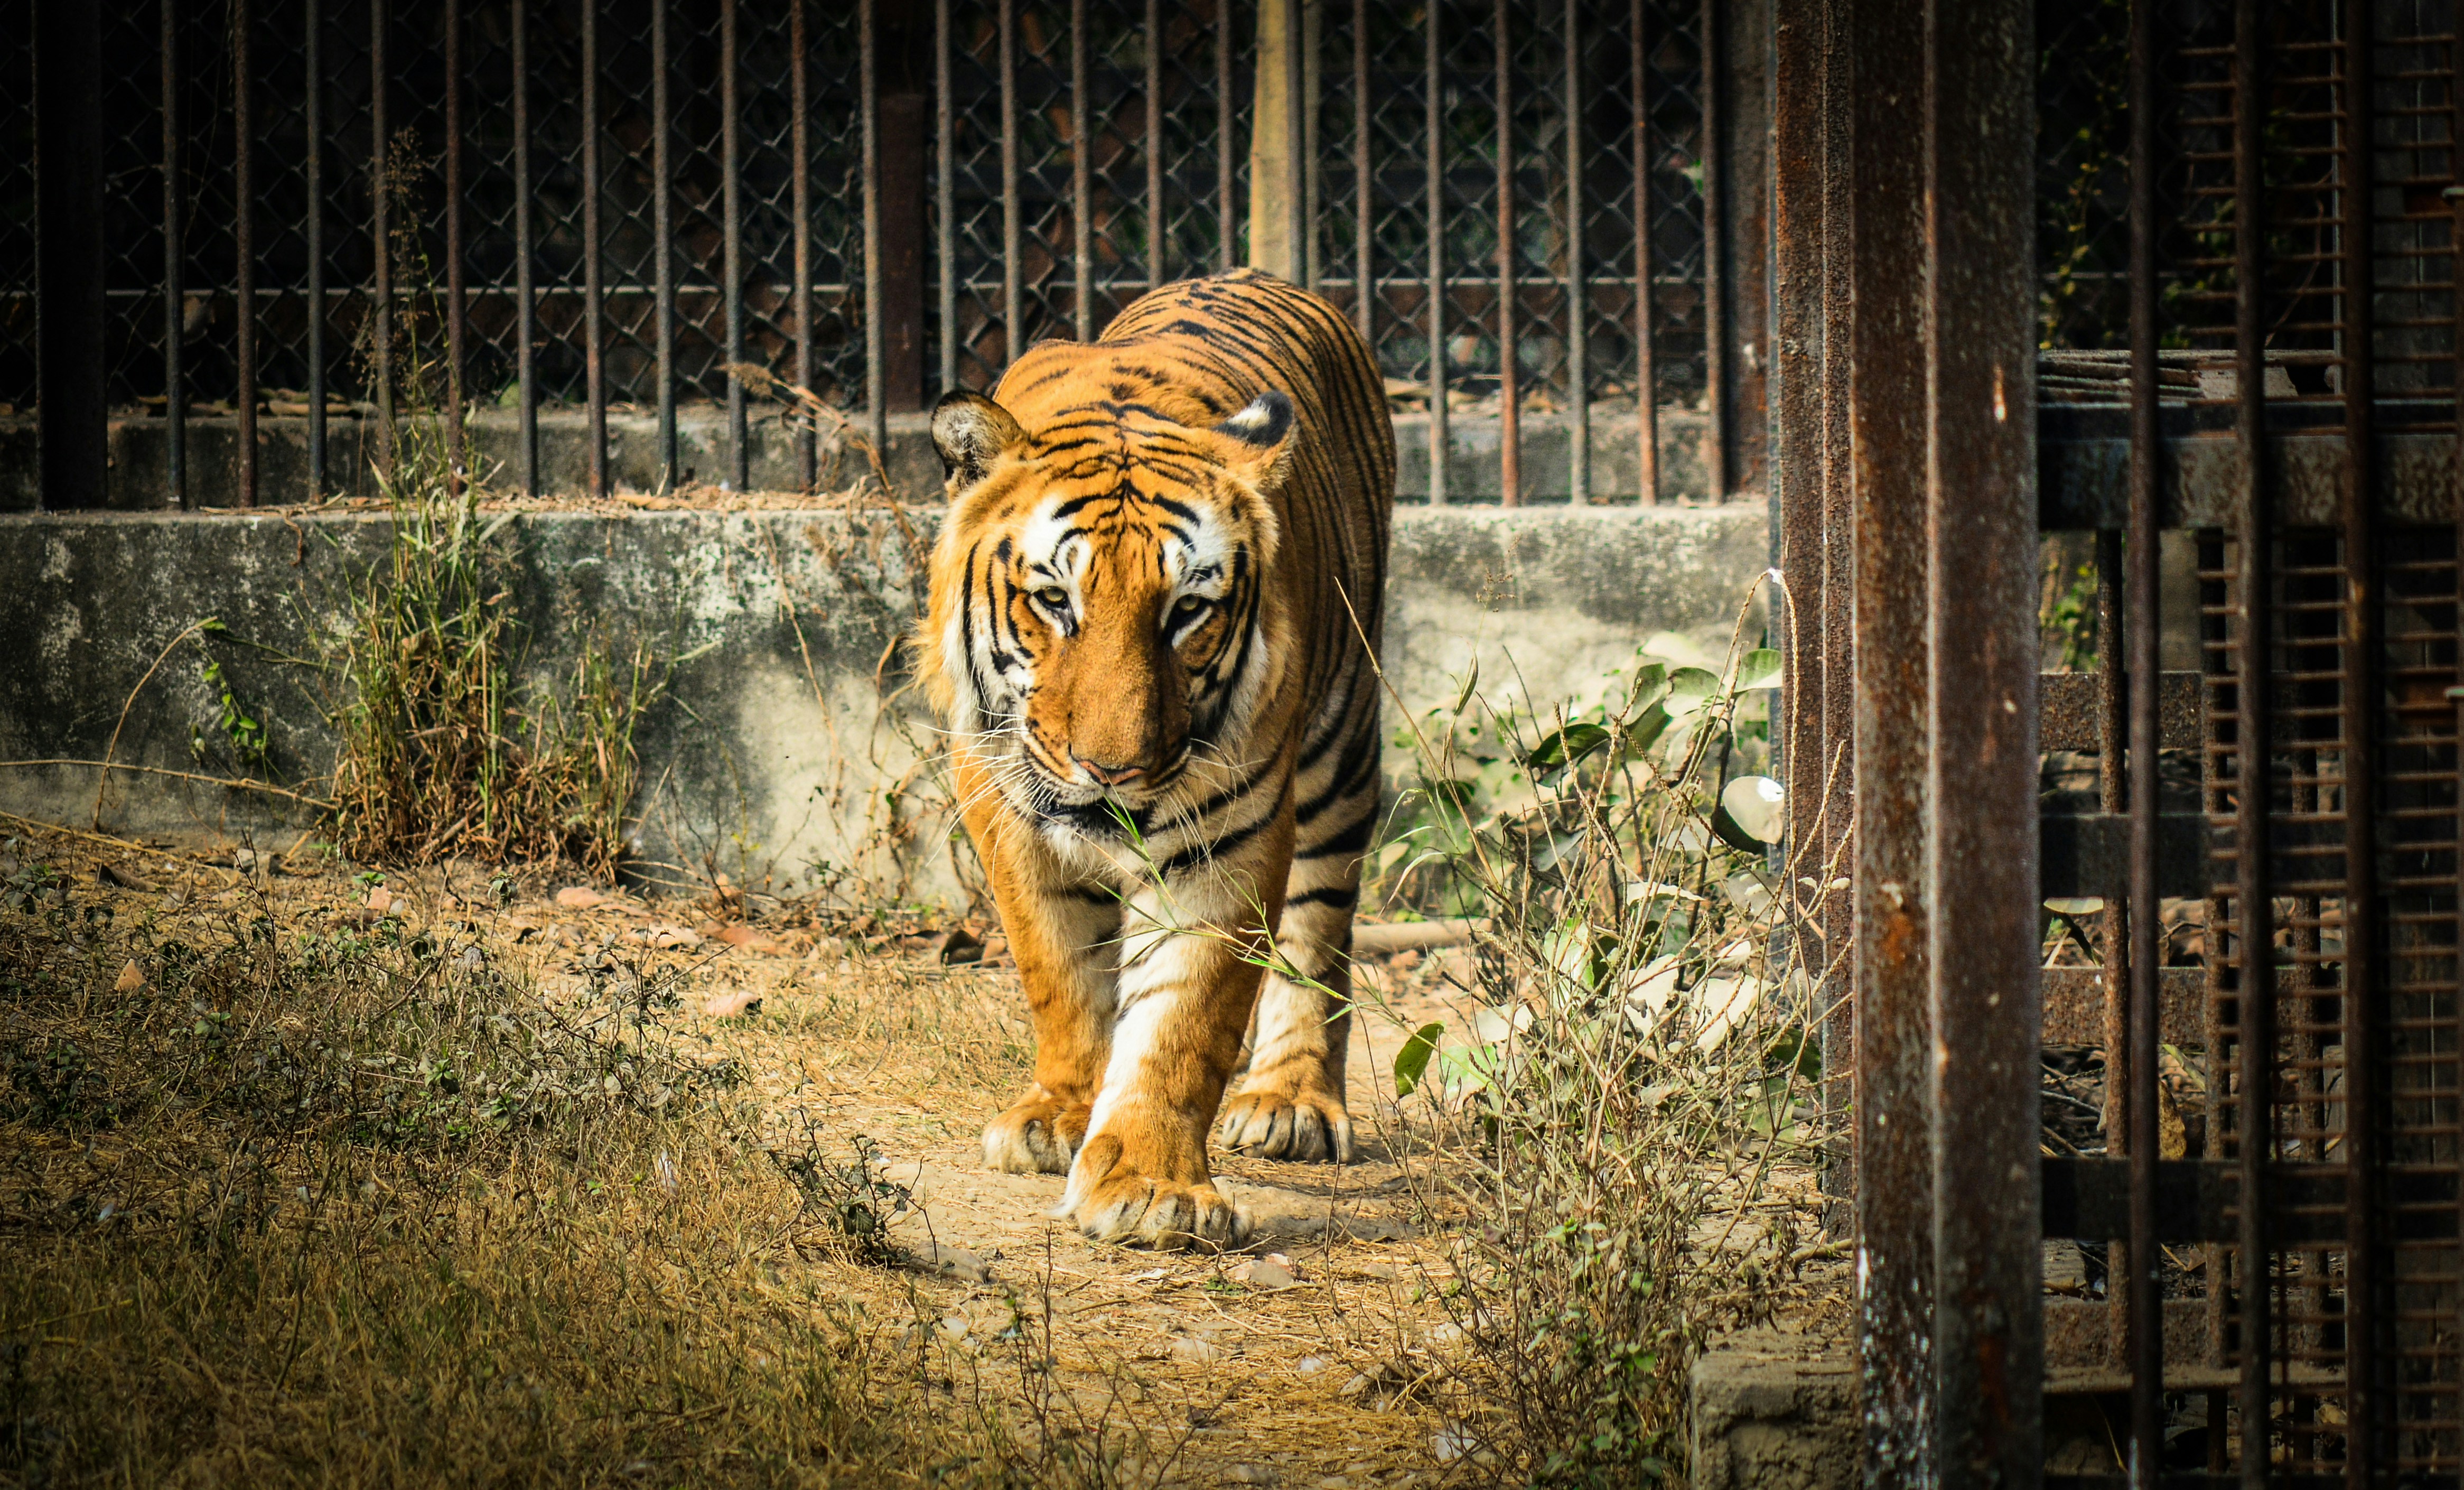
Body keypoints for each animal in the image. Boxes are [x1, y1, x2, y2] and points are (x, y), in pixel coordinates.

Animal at [920, 269, 1395, 1249]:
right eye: (1054, 601)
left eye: (1187, 611)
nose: (1113, 770)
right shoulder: (1000, 804)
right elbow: (1061, 973)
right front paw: (1062, 1116)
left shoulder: (1231, 833)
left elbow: (1184, 1019)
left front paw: (1150, 1186)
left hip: (1341, 746)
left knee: (1320, 922)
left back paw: (1290, 1101)